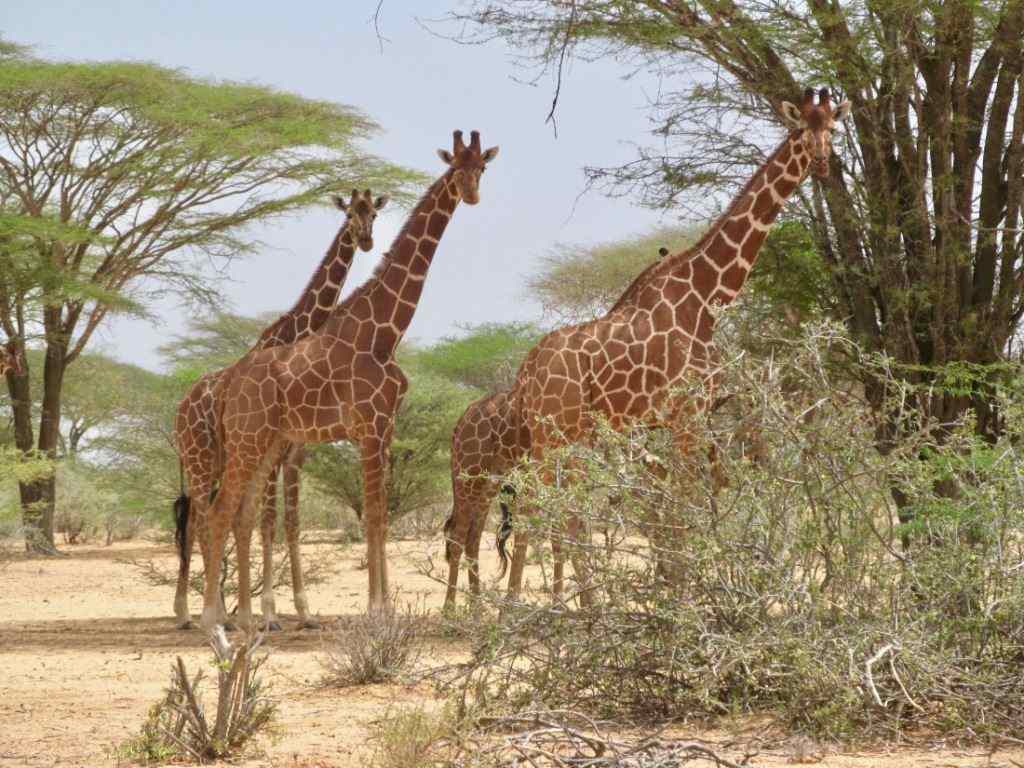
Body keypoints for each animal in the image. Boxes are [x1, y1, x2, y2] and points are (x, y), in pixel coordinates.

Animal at [172, 189, 388, 630]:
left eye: (373, 214)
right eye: (350, 215)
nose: (366, 241)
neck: (297, 332)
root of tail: (179, 411)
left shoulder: (293, 453)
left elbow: (290, 523)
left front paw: (302, 612)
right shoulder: (274, 456)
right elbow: (266, 522)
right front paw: (269, 614)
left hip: (215, 465)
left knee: (201, 520)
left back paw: (210, 611)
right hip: (201, 461)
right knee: (198, 521)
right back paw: (195, 612)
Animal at [197, 130, 499, 631]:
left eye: (483, 167)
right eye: (455, 167)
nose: (472, 195)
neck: (385, 331)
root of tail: (225, 387)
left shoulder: (383, 428)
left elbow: (380, 517)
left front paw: (384, 608)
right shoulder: (369, 427)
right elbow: (373, 517)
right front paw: (378, 610)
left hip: (264, 445)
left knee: (241, 514)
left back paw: (246, 620)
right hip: (246, 441)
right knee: (220, 513)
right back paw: (213, 618)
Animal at [441, 243, 675, 610]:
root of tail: (459, 423)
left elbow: (565, 531)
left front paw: (566, 602)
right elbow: (565, 530)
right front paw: (569, 602)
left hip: (489, 482)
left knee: (472, 535)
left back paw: (477, 609)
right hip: (469, 476)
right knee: (457, 532)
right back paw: (453, 611)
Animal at [503, 88, 850, 601]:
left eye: (833, 126)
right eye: (799, 129)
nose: (824, 161)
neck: (707, 297)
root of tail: (526, 374)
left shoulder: (671, 422)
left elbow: (674, 507)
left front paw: (674, 590)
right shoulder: (688, 414)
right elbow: (685, 505)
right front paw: (684, 598)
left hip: (559, 434)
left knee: (552, 505)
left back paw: (551, 605)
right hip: (560, 430)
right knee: (543, 504)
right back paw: (529, 609)